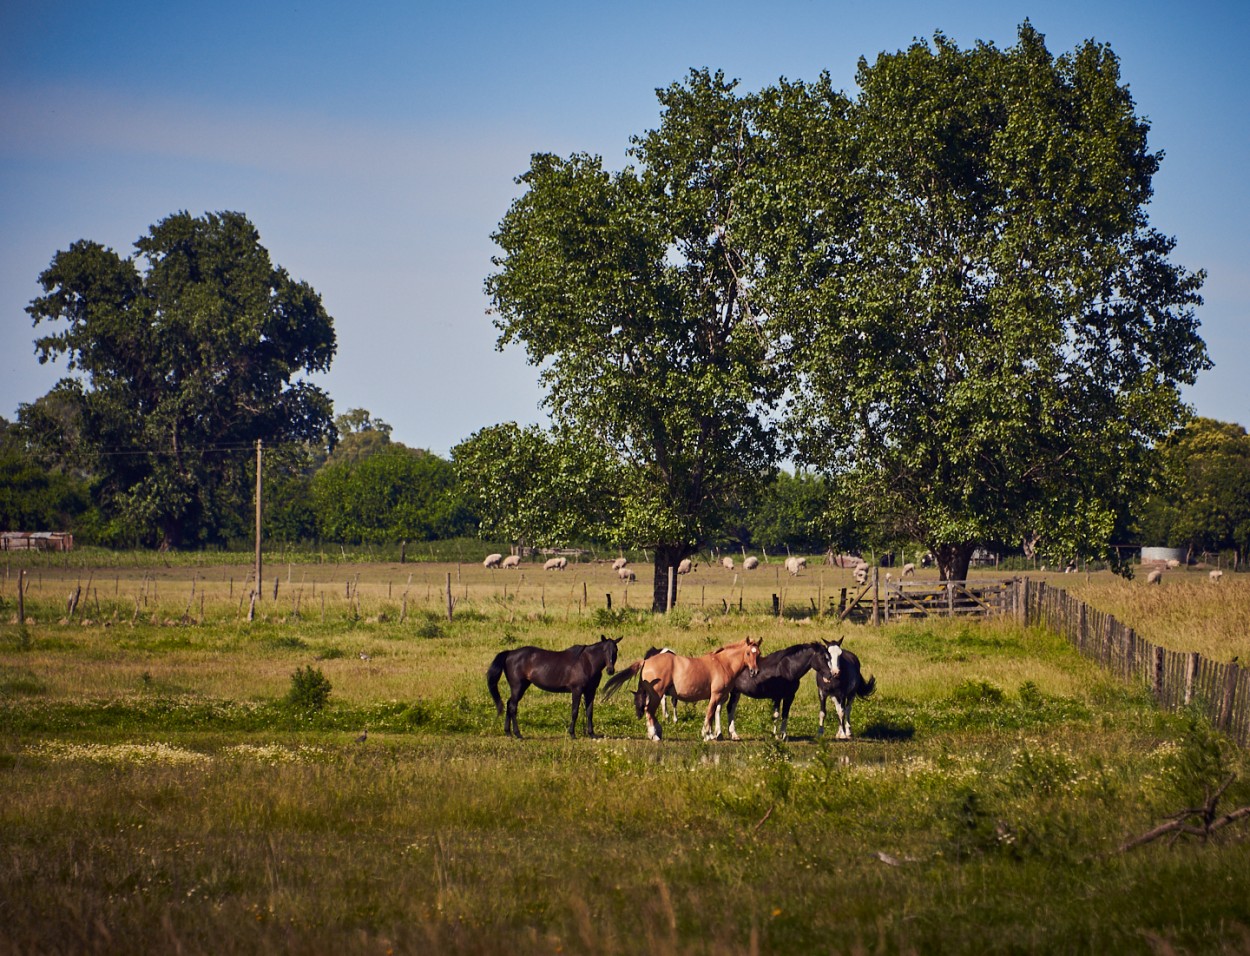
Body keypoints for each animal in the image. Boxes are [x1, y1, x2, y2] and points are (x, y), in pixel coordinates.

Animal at [487, 634, 625, 739]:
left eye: (616, 650)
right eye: (604, 650)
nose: (610, 670)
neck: (587, 663)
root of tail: (510, 653)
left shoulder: (590, 691)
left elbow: (589, 712)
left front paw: (592, 734)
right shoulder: (577, 690)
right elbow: (574, 711)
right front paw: (572, 734)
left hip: (522, 686)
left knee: (509, 704)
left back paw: (508, 733)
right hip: (518, 686)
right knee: (512, 706)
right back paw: (518, 734)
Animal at [602, 637, 760, 739]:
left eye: (758, 653)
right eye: (748, 653)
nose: (754, 672)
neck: (722, 663)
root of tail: (646, 661)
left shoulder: (721, 697)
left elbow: (715, 713)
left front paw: (715, 734)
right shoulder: (715, 695)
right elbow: (709, 713)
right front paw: (707, 734)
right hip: (657, 694)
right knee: (649, 711)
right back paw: (655, 735)